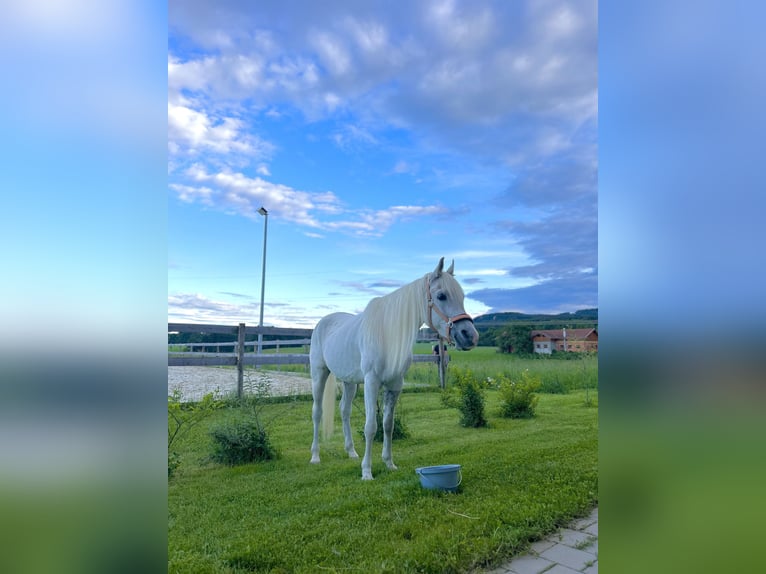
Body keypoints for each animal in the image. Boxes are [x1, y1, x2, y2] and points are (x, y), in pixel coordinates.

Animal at [308, 258, 476, 480]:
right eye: (441, 295)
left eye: (463, 296)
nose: (470, 335)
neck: (388, 334)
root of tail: (322, 322)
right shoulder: (371, 382)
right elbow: (371, 426)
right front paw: (367, 471)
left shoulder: (395, 384)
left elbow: (388, 425)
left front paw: (389, 463)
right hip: (319, 374)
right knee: (317, 412)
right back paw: (315, 456)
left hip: (349, 381)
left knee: (344, 410)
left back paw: (351, 452)